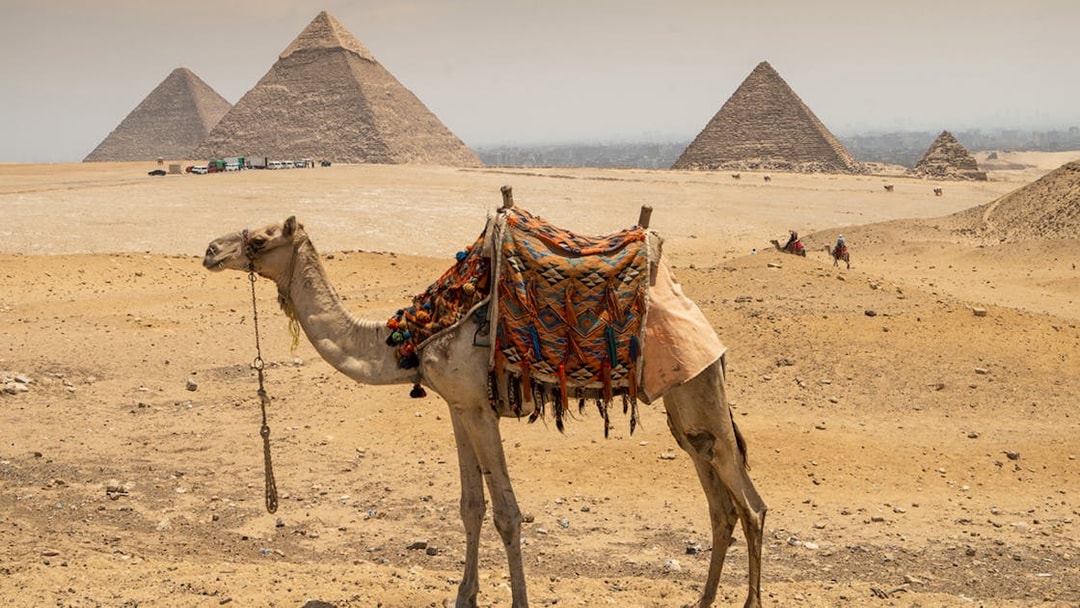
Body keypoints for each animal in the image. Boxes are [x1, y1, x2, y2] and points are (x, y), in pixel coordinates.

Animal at [202, 208, 767, 608]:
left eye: (260, 239)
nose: (210, 249)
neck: (409, 338)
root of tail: (708, 332)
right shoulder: (459, 407)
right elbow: (470, 507)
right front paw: (464, 597)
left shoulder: (480, 410)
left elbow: (508, 514)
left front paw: (517, 600)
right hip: (682, 408)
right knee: (720, 503)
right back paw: (703, 601)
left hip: (699, 387)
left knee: (751, 505)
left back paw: (749, 602)